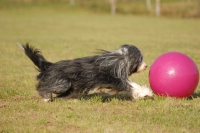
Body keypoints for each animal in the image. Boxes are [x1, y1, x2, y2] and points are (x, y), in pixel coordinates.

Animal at [18, 43, 153, 101]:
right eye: (140, 59)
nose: (146, 66)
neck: (121, 58)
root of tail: (50, 66)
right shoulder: (117, 78)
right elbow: (132, 86)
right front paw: (146, 93)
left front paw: (110, 92)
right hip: (61, 83)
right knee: (42, 87)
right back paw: (46, 97)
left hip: (71, 88)